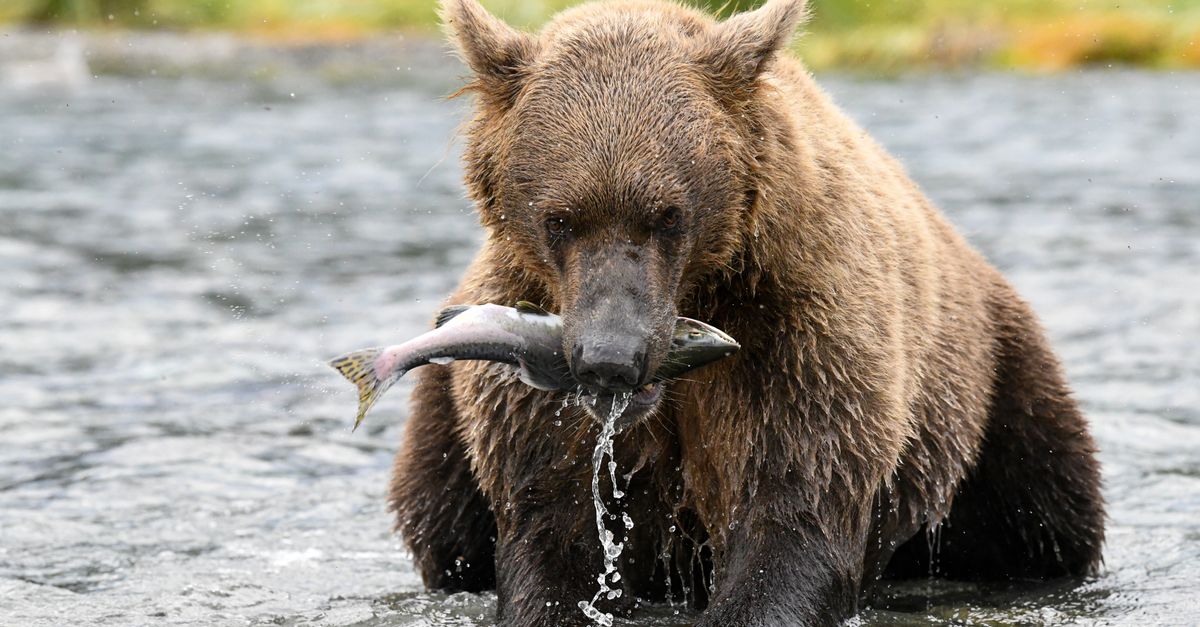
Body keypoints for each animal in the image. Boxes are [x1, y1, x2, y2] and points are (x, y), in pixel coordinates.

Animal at [388, 0, 1106, 625]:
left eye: (668, 215)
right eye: (559, 219)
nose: (610, 359)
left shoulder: (796, 335)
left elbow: (790, 509)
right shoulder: (530, 380)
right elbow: (553, 525)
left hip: (996, 387)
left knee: (1044, 513)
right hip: (442, 417)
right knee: (443, 525)